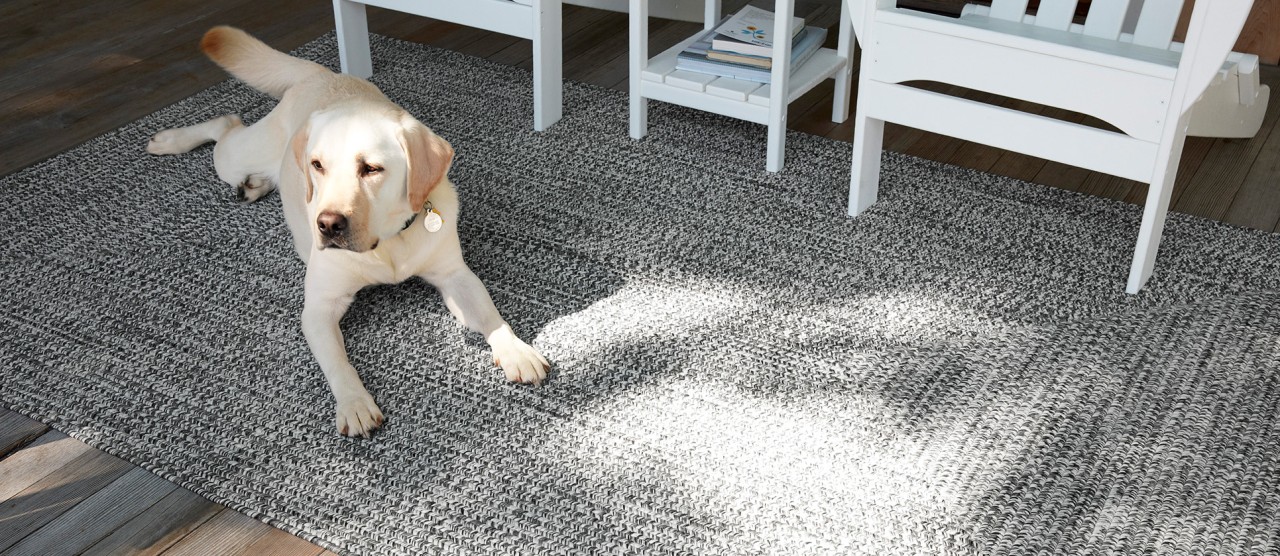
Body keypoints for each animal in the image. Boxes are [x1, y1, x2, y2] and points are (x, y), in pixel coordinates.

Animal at [147, 28, 547, 438]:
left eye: (371, 168)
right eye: (318, 165)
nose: (327, 225)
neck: (386, 245)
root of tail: (321, 74)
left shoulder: (455, 276)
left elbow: (490, 314)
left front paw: (515, 350)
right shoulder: (319, 308)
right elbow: (338, 363)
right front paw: (354, 404)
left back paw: (256, 184)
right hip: (240, 155)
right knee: (226, 123)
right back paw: (171, 141)